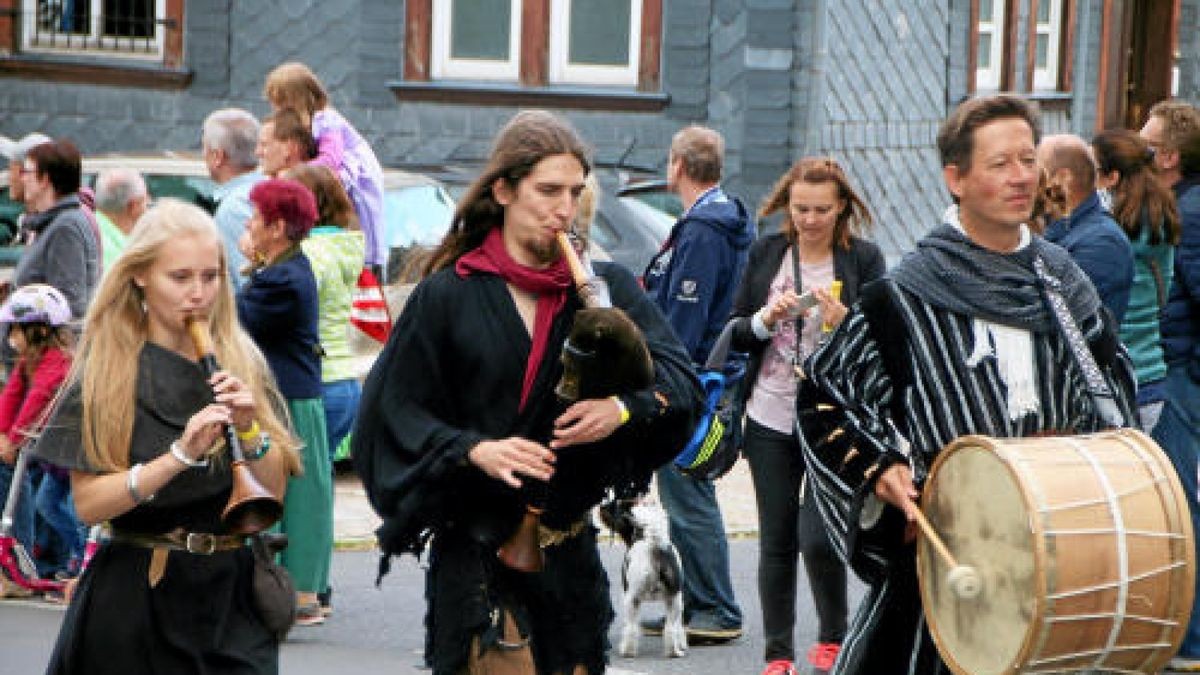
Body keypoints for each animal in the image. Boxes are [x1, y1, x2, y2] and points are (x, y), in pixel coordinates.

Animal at [600, 494, 686, 658]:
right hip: (675, 601)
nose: (601, 507)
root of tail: (654, 546)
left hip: (632, 599)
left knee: (631, 627)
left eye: (616, 506)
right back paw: (674, 651)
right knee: (671, 628)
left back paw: (627, 651)